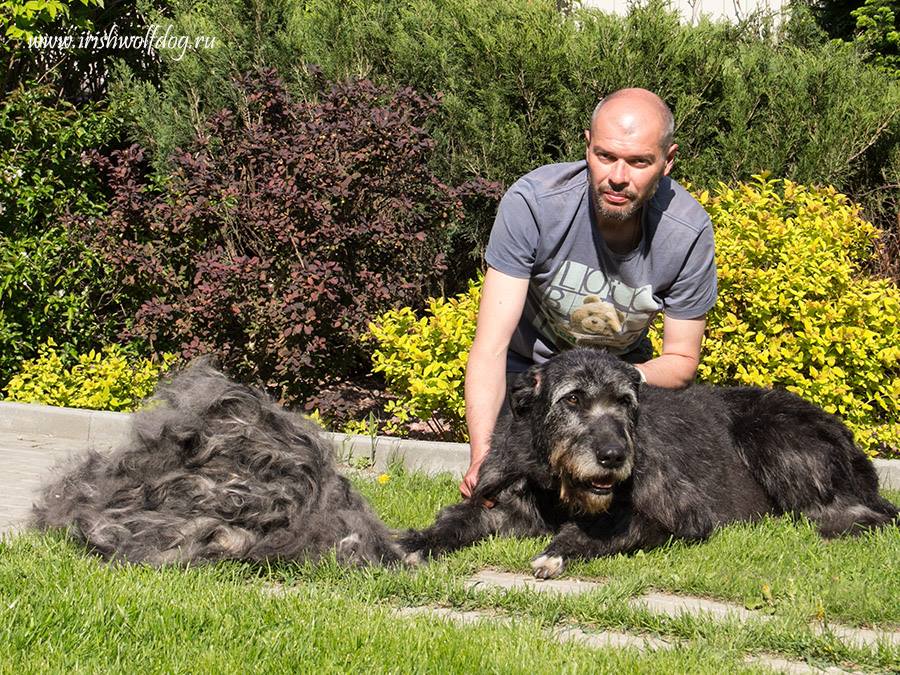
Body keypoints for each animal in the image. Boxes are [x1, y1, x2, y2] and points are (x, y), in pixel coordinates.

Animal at [402, 348, 900, 580]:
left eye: (625, 402)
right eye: (573, 399)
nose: (613, 457)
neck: (559, 486)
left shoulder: (677, 517)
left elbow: (607, 529)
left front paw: (558, 549)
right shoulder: (506, 501)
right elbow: (456, 519)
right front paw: (417, 541)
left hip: (773, 437)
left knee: (869, 513)